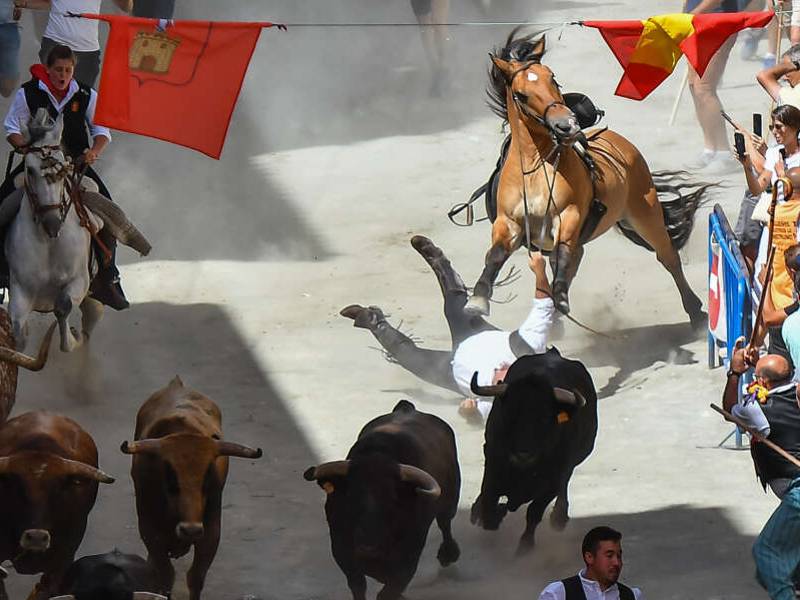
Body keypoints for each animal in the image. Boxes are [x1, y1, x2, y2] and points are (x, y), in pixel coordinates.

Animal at [122, 378, 264, 596]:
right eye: (170, 477)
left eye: (207, 478)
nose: (190, 530)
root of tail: (176, 384)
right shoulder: (148, 528)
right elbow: (165, 573)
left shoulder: (211, 529)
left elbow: (196, 576)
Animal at [304, 400, 460, 600]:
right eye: (351, 495)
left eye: (392, 498)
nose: (367, 544)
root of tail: (407, 408)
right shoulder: (342, 552)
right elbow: (358, 585)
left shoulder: (407, 560)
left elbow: (388, 590)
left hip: (451, 500)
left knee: (445, 522)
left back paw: (449, 553)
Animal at [466, 32, 708, 328]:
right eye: (521, 94)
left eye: (553, 79)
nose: (567, 126)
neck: (536, 167)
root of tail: (621, 143)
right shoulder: (508, 222)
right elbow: (496, 255)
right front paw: (478, 300)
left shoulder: (568, 215)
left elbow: (562, 253)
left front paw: (559, 299)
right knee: (575, 260)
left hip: (645, 213)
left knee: (668, 256)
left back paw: (695, 310)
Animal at [472, 350, 596, 556]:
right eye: (510, 414)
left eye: (544, 418)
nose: (523, 453)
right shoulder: (492, 465)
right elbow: (489, 505)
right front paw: (488, 513)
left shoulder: (552, 482)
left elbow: (534, 513)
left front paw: (525, 546)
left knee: (564, 486)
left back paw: (559, 518)